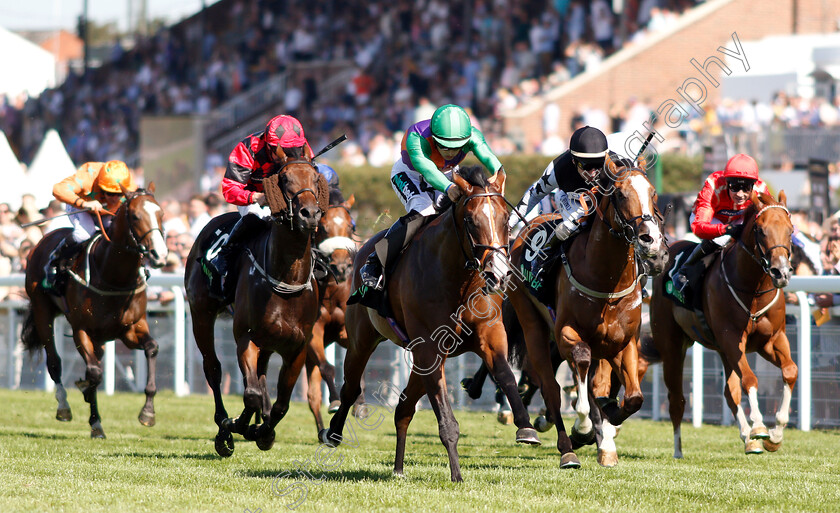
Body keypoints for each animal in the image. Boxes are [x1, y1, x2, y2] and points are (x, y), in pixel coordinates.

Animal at [21, 186, 168, 438]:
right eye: (136, 216)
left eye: (161, 214)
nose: (160, 254)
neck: (114, 276)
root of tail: (45, 238)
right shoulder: (81, 329)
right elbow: (94, 373)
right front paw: (90, 409)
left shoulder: (130, 329)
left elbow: (152, 348)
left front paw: (147, 412)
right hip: (42, 311)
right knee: (55, 362)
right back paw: (64, 407)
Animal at [185, 152, 330, 456]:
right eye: (283, 179)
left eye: (315, 178)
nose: (310, 214)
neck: (286, 278)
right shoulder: (246, 337)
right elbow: (250, 393)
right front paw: (235, 427)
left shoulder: (298, 348)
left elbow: (280, 403)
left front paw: (264, 431)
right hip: (201, 313)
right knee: (214, 369)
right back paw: (225, 429)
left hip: (269, 341)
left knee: (260, 378)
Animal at [318, 167, 540, 480]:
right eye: (470, 220)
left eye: (505, 219)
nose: (498, 273)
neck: (460, 281)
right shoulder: (430, 348)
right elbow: (445, 417)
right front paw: (457, 474)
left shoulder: (490, 334)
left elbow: (505, 374)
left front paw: (525, 426)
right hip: (362, 339)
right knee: (351, 387)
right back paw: (334, 432)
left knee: (403, 407)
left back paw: (398, 468)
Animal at [506, 165, 668, 468]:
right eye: (620, 194)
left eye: (653, 193)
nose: (650, 240)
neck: (607, 282)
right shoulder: (568, 334)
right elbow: (581, 376)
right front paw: (583, 428)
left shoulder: (624, 343)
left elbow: (633, 398)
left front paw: (608, 421)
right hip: (531, 322)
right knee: (550, 386)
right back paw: (565, 447)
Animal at [648, 192, 796, 456]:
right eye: (760, 230)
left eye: (790, 230)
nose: (781, 272)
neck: (753, 289)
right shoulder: (731, 339)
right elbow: (750, 379)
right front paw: (760, 427)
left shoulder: (770, 340)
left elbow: (790, 371)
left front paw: (775, 434)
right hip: (672, 346)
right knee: (677, 399)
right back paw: (678, 450)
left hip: (723, 351)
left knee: (730, 391)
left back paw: (748, 439)